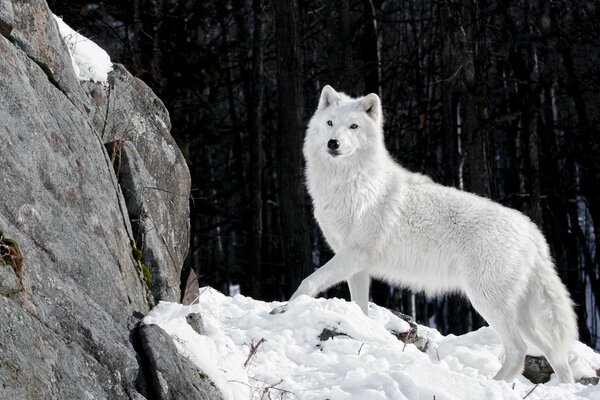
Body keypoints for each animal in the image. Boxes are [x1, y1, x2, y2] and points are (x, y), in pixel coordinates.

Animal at [286, 85, 576, 384]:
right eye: (330, 123)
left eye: (353, 126)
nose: (333, 143)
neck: (349, 184)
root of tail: (532, 231)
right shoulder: (357, 267)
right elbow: (360, 308)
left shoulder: (352, 255)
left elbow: (308, 282)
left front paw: (283, 311)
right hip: (519, 314)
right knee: (556, 354)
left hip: (487, 301)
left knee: (519, 351)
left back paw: (491, 384)